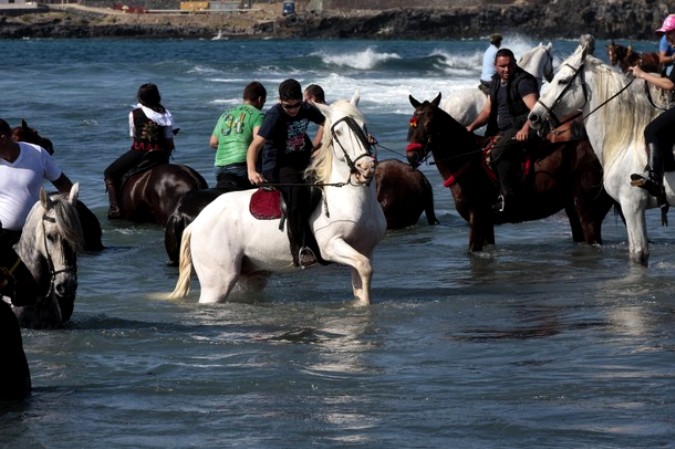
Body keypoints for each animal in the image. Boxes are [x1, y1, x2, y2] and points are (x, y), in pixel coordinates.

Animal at [170, 94, 386, 304]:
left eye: (364, 127)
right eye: (338, 133)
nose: (365, 168)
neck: (348, 197)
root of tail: (196, 224)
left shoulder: (365, 249)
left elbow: (363, 279)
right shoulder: (331, 246)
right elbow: (365, 266)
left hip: (252, 274)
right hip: (217, 281)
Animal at [404, 93, 616, 252]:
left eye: (429, 124)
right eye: (412, 123)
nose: (411, 155)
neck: (467, 158)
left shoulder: (477, 217)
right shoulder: (486, 222)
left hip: (588, 212)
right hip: (573, 209)